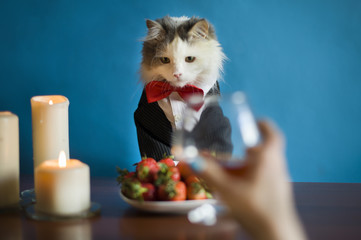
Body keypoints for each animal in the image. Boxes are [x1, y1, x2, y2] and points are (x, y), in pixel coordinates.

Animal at [133, 15, 231, 160]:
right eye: (165, 60)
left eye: (189, 59)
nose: (177, 74)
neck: (178, 91)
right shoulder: (147, 120)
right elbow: (160, 153)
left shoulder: (213, 116)